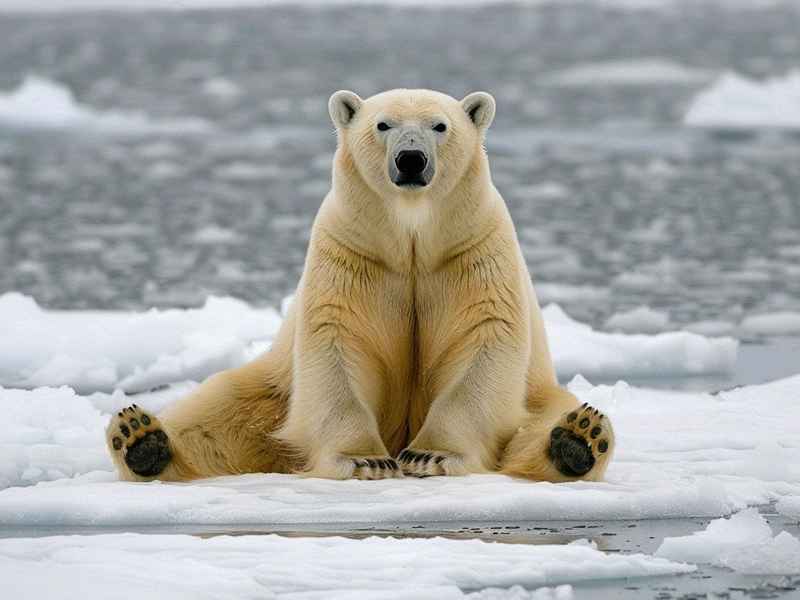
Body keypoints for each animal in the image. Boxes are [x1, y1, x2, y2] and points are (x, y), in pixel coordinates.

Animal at [106, 89, 614, 484]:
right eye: (383, 124)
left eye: (440, 126)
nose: (411, 160)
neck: (412, 240)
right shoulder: (351, 254)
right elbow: (337, 344)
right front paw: (367, 460)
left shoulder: (474, 253)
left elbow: (484, 341)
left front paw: (428, 453)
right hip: (270, 389)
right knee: (215, 413)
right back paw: (142, 439)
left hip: (541, 393)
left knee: (545, 423)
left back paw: (577, 440)